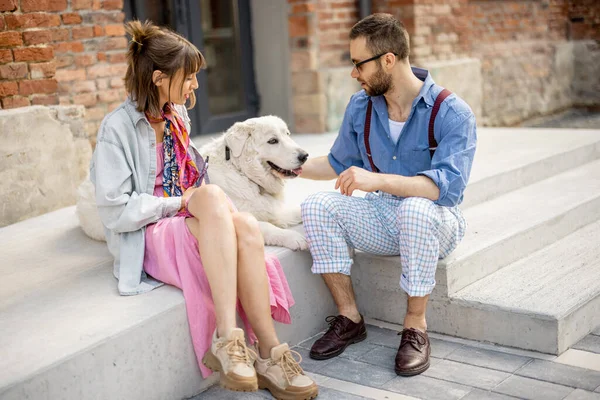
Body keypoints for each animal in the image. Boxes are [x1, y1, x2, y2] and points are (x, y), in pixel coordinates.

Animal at [77, 115, 308, 250]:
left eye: (288, 134)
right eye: (272, 141)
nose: (305, 155)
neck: (242, 172)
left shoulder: (272, 210)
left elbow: (291, 211)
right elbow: (268, 227)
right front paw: (294, 238)